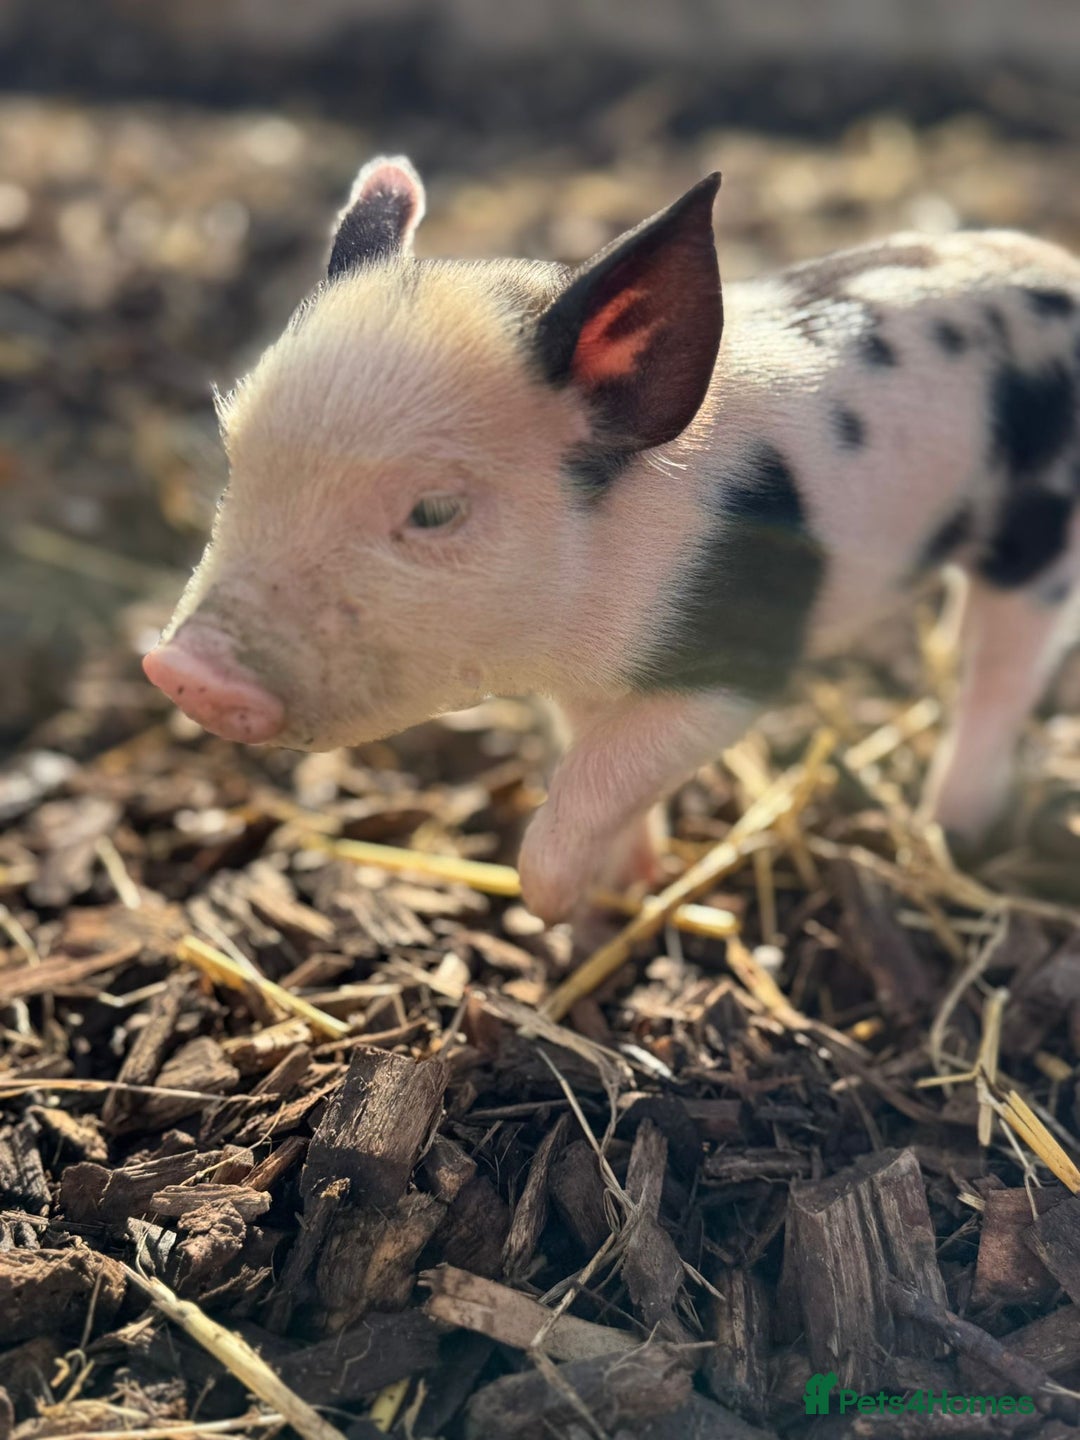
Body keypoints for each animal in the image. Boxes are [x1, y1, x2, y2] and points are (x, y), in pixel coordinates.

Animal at [143, 155, 1080, 924]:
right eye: (235, 460)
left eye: (435, 510)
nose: (184, 671)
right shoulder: (584, 679)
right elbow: (595, 757)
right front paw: (627, 884)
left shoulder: (738, 655)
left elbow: (605, 771)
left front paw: (555, 905)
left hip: (1041, 541)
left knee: (1006, 670)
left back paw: (952, 830)